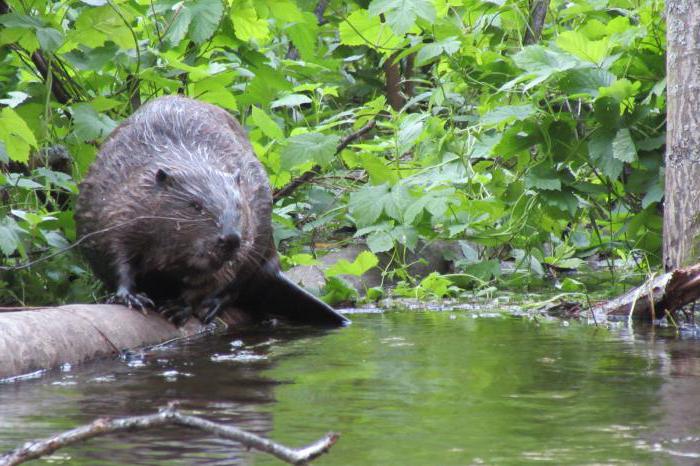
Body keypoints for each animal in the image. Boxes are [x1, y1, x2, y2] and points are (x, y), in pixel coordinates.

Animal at [75, 96, 348, 326]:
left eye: (238, 206)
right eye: (196, 205)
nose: (230, 238)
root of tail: (276, 271)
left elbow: (218, 277)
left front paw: (178, 307)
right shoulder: (117, 201)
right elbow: (114, 251)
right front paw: (131, 297)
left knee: (241, 283)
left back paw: (210, 306)